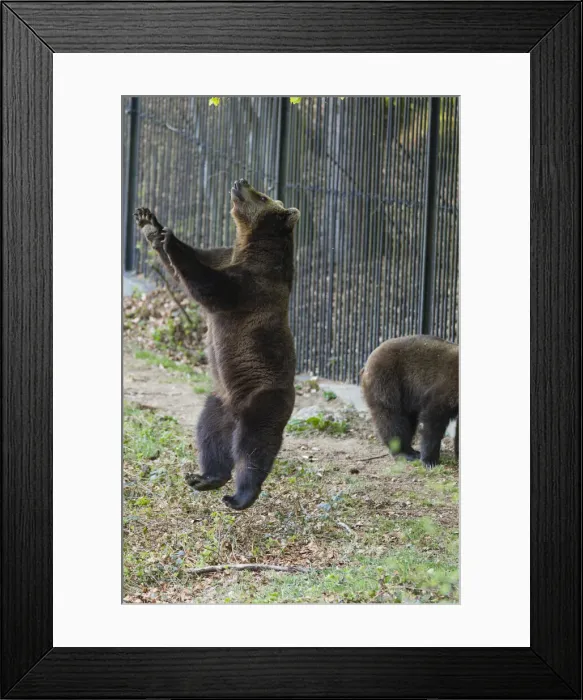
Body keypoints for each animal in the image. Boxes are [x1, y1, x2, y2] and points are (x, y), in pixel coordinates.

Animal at [134, 178, 300, 510]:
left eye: (262, 196)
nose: (240, 182)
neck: (249, 245)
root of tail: (235, 410)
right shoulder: (224, 255)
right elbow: (185, 269)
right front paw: (149, 224)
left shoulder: (253, 285)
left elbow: (211, 286)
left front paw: (170, 238)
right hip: (218, 401)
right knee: (209, 435)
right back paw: (206, 477)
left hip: (264, 396)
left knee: (255, 445)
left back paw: (240, 495)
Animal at [360, 335, 459, 468]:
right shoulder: (446, 388)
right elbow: (433, 418)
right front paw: (429, 460)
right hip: (388, 380)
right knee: (391, 418)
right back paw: (405, 452)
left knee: (408, 421)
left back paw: (411, 450)